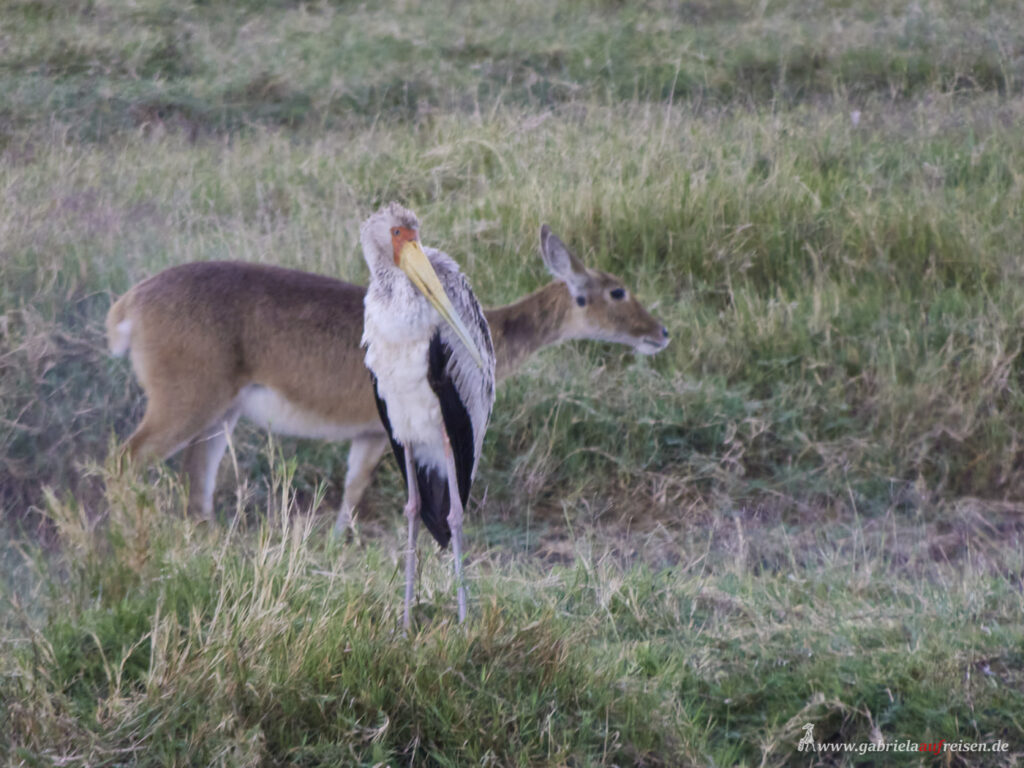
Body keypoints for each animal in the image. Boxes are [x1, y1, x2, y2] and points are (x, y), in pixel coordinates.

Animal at [108, 225, 671, 532]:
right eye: (617, 291)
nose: (660, 332)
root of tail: (129, 304)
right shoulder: (384, 433)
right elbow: (361, 493)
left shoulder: (365, 435)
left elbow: (351, 492)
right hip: (185, 404)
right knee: (125, 460)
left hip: (219, 415)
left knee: (196, 485)